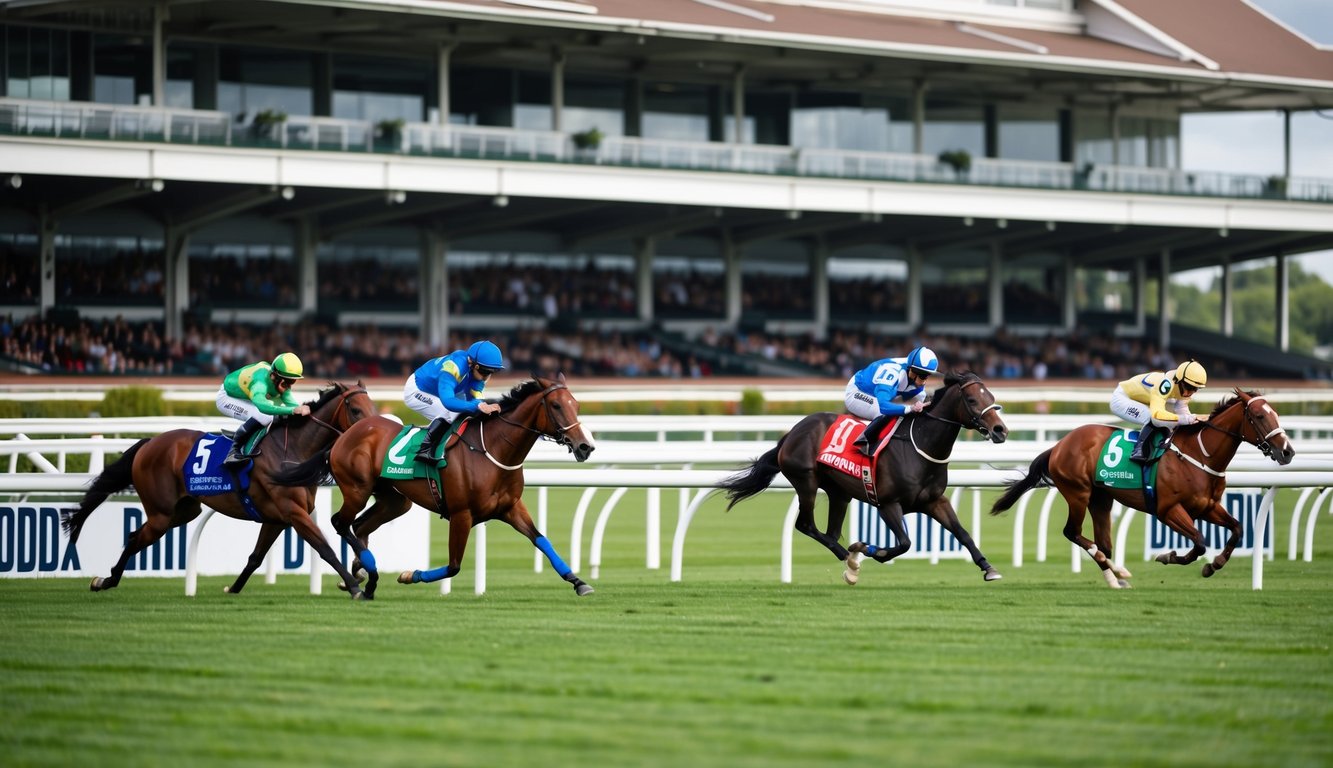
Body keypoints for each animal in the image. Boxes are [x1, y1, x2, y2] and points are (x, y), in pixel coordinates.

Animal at [61, 384, 375, 600]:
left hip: (185, 510)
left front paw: (232, 588)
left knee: (135, 535)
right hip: (161, 511)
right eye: (355, 410)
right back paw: (108, 580)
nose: (373, 430)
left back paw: (107, 579)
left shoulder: (277, 518)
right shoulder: (294, 513)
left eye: (371, 407)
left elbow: (255, 557)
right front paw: (355, 586)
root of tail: (149, 442)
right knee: (138, 537)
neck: (292, 449)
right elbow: (325, 548)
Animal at [273, 376, 597, 597]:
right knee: (340, 522)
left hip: (394, 499)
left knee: (360, 526)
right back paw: (367, 572)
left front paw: (578, 581)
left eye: (577, 405)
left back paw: (360, 571)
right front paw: (409, 575)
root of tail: (343, 437)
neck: (492, 450)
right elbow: (453, 565)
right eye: (556, 405)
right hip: (356, 488)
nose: (585, 446)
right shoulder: (462, 514)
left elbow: (542, 540)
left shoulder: (511, 508)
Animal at [719, 373, 1007, 581]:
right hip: (806, 481)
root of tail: (791, 433)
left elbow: (963, 533)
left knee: (830, 531)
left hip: (839, 492)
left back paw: (849, 557)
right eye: (972, 400)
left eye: (992, 397)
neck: (920, 446)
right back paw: (849, 555)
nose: (1000, 430)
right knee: (806, 525)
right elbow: (904, 543)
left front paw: (988, 568)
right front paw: (871, 550)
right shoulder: (888, 504)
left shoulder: (935, 501)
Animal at [991, 389, 1290, 586]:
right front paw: (1168, 556)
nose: (1287, 452)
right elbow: (1199, 541)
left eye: (1276, 414)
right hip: (1078, 492)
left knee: (1103, 543)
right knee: (1072, 532)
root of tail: (1059, 445)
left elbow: (1237, 529)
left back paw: (1115, 574)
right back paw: (1116, 572)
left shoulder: (1207, 506)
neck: (1200, 454)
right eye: (1259, 417)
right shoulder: (1168, 510)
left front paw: (1214, 565)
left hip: (1101, 498)